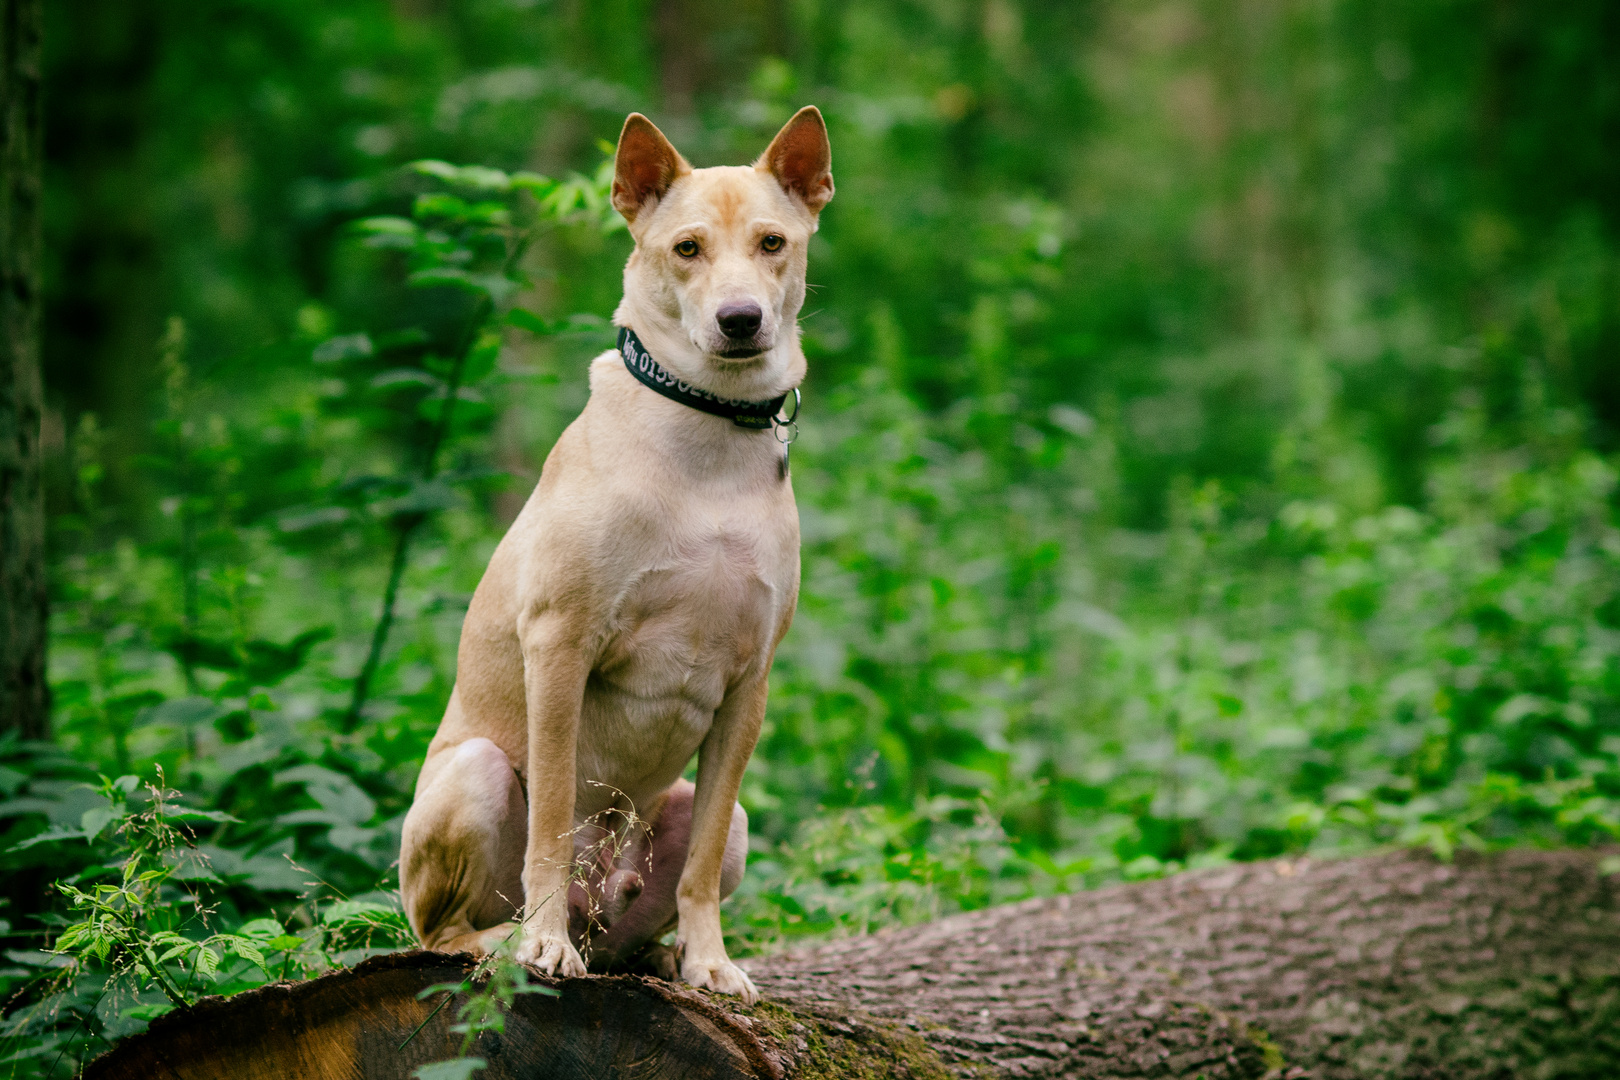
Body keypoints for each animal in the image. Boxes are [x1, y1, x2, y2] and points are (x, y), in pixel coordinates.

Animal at [395, 110, 835, 1003]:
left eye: (773, 242)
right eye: (687, 248)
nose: (741, 319)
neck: (708, 434)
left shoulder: (749, 686)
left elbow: (702, 859)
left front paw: (709, 960)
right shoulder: (560, 646)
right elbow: (553, 819)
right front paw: (543, 943)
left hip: (702, 825)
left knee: (646, 913)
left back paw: (655, 955)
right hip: (474, 776)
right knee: (442, 932)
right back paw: (513, 939)